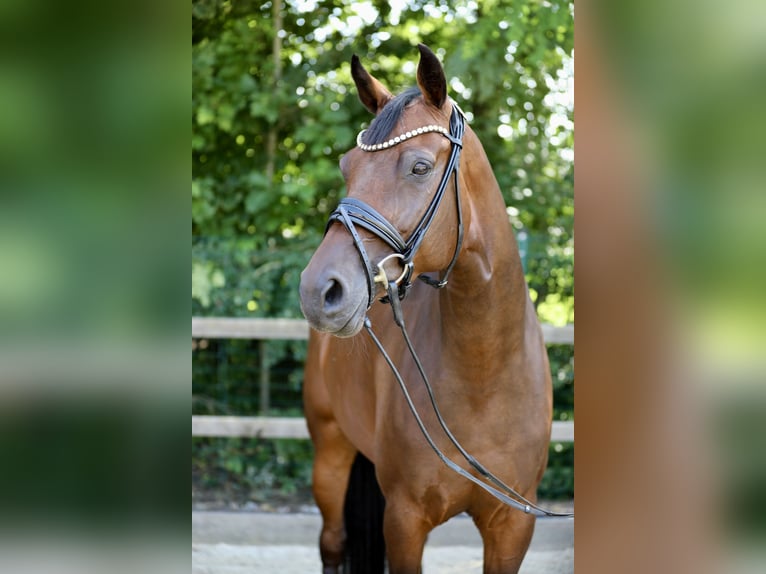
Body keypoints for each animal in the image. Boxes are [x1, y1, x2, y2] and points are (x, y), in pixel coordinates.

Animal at [296, 46, 556, 574]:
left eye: (418, 167)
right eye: (346, 166)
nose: (318, 290)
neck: (484, 376)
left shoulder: (512, 527)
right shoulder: (405, 520)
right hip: (330, 452)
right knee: (332, 542)